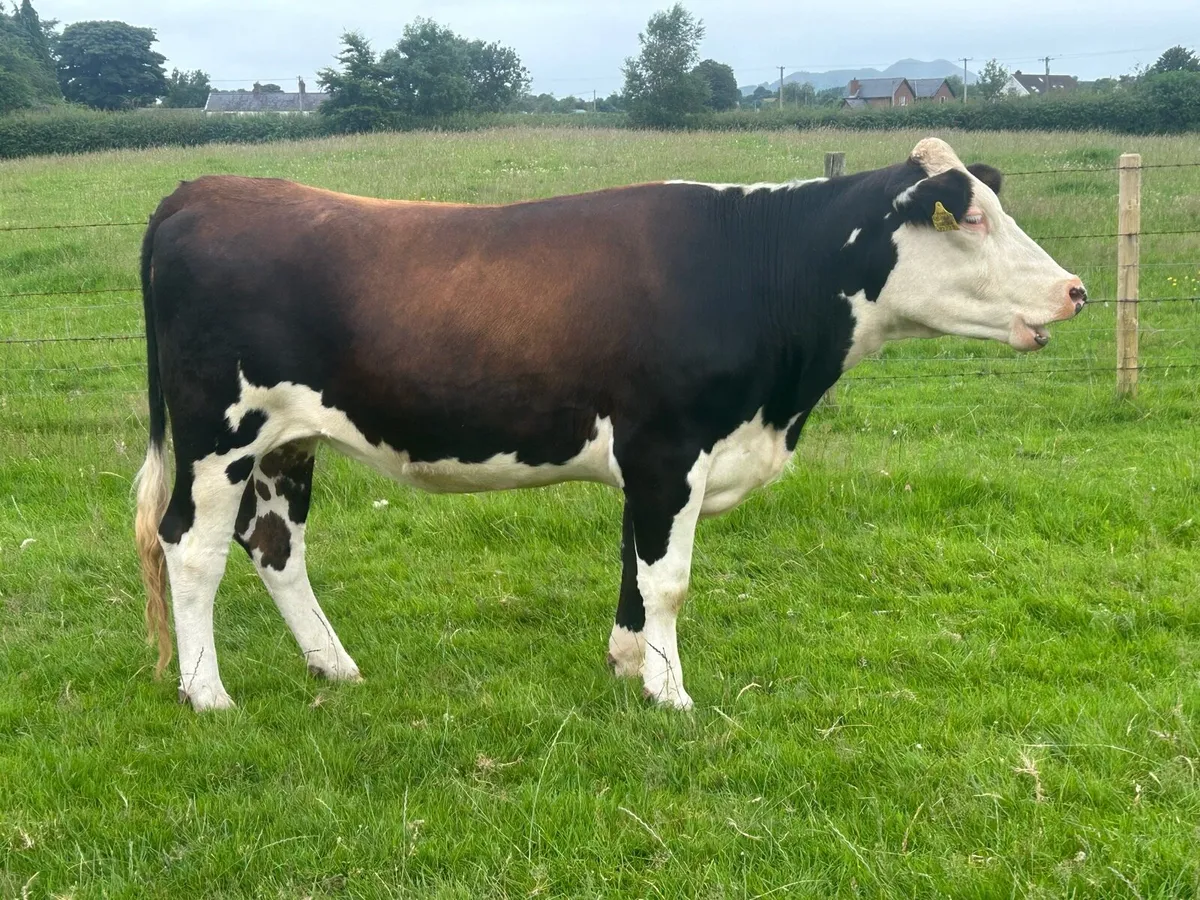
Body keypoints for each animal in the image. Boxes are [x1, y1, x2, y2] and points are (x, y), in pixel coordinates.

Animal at [134, 137, 1086, 712]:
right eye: (969, 218)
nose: (1075, 289)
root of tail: (202, 188)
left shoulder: (654, 463)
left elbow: (634, 565)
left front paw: (631, 667)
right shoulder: (670, 448)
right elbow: (668, 579)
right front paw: (672, 694)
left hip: (286, 442)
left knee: (274, 545)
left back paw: (333, 664)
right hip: (219, 434)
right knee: (192, 545)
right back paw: (206, 693)